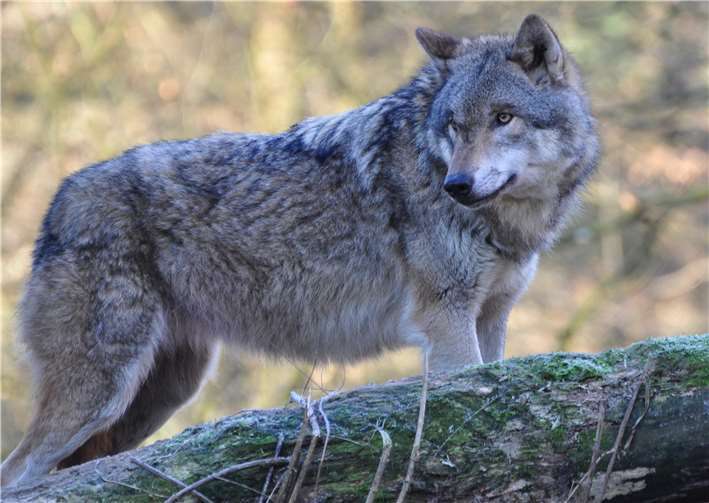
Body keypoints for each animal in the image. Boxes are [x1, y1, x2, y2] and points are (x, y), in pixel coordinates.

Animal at [1, 14, 598, 487]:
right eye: (454, 126)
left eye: (503, 117)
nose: (457, 184)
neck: (511, 224)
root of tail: (58, 203)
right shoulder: (446, 320)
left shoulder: (491, 319)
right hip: (101, 393)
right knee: (19, 472)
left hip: (158, 397)